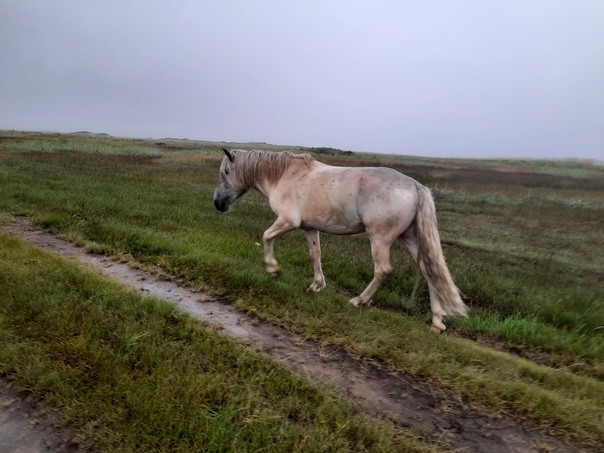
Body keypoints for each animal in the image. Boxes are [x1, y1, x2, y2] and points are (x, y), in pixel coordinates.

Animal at [212, 149, 468, 332]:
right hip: (410, 238)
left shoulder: (287, 221)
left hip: (380, 238)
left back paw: (359, 301)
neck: (285, 175)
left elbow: (266, 237)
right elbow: (315, 255)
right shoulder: (309, 228)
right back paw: (437, 320)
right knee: (428, 270)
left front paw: (273, 269)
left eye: (225, 173)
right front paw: (317, 285)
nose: (217, 204)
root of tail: (415, 186)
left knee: (383, 269)